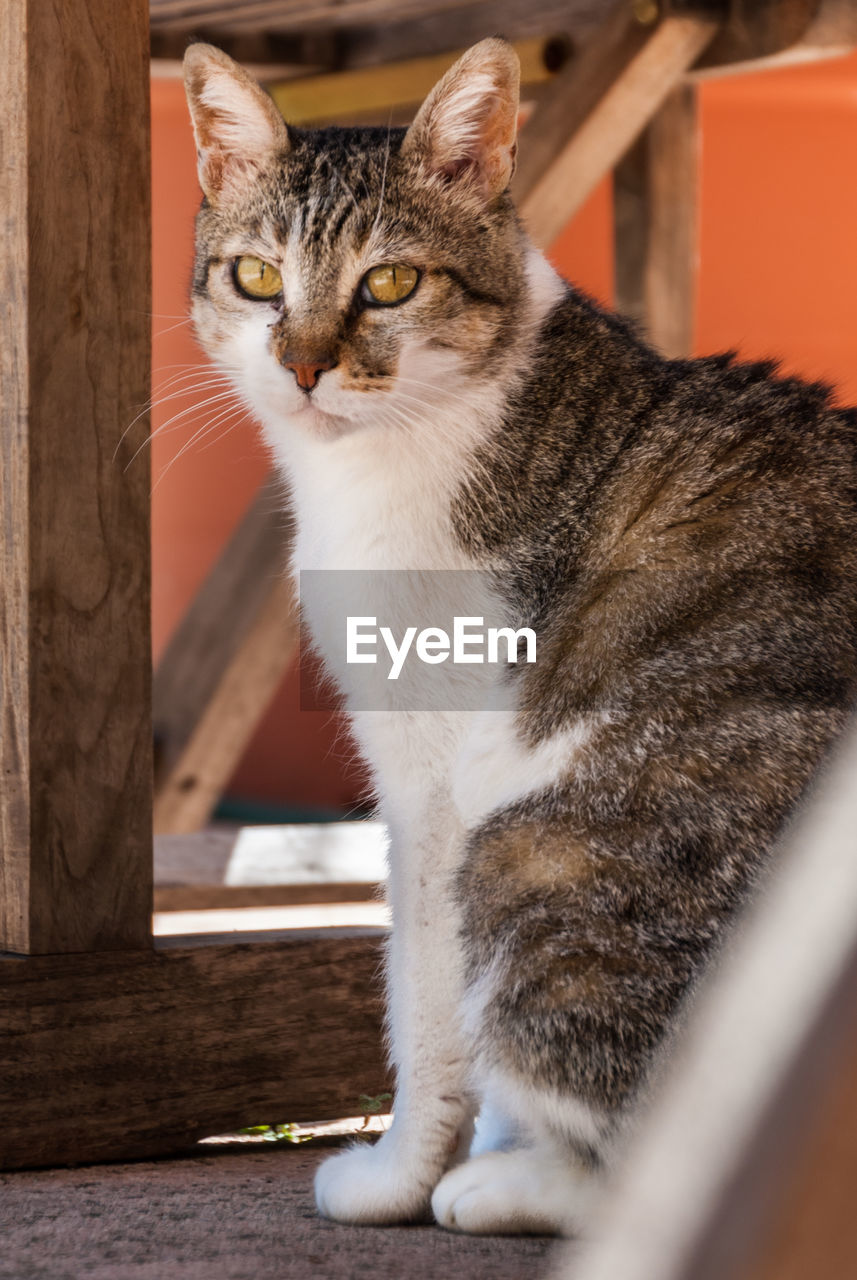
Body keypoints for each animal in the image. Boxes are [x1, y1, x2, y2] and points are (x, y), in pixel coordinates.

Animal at [182, 40, 857, 1233]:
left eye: (389, 283)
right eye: (256, 277)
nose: (303, 367)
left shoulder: (440, 781)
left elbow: (424, 994)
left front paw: (403, 1175)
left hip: (535, 851)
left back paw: (505, 1185)